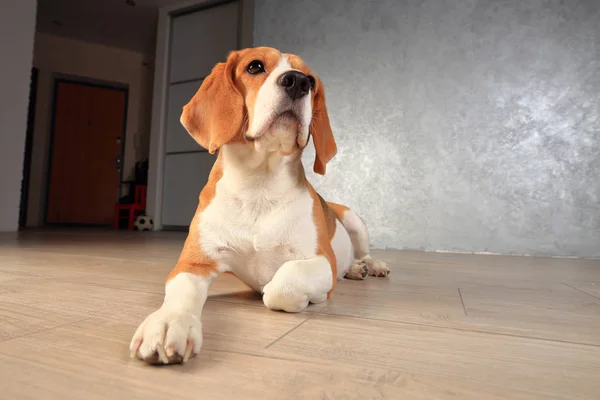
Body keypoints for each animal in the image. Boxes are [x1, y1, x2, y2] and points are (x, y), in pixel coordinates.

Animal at [129, 47, 390, 366]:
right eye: (254, 66)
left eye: (312, 81)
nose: (298, 82)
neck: (259, 188)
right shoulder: (193, 263)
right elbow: (183, 291)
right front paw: (169, 323)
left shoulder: (321, 261)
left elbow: (282, 284)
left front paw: (306, 296)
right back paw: (355, 269)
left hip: (353, 219)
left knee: (364, 252)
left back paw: (369, 266)